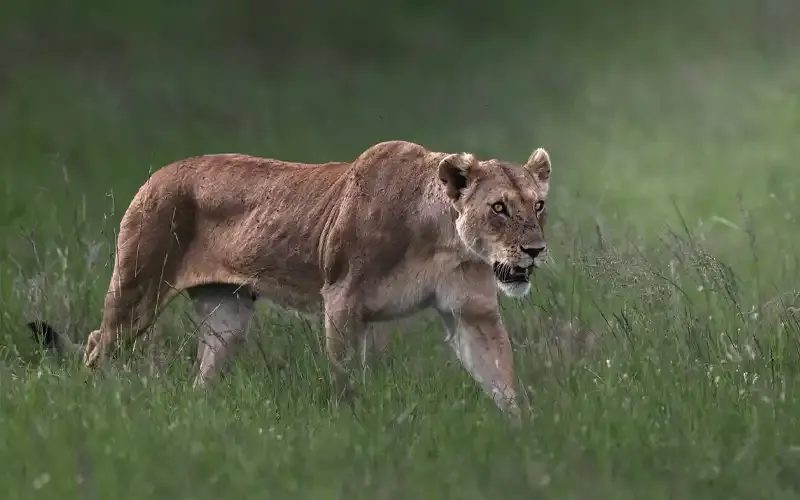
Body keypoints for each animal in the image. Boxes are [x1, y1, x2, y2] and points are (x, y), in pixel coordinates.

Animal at [28, 140, 552, 416]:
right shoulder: (342, 300)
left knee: (205, 368)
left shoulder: (472, 314)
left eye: (539, 205)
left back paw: (200, 416)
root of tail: (156, 175)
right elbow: (345, 376)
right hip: (139, 286)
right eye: (499, 208)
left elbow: (501, 377)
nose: (535, 251)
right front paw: (352, 423)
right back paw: (87, 403)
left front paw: (525, 433)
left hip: (227, 314)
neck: (442, 238)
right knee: (98, 340)